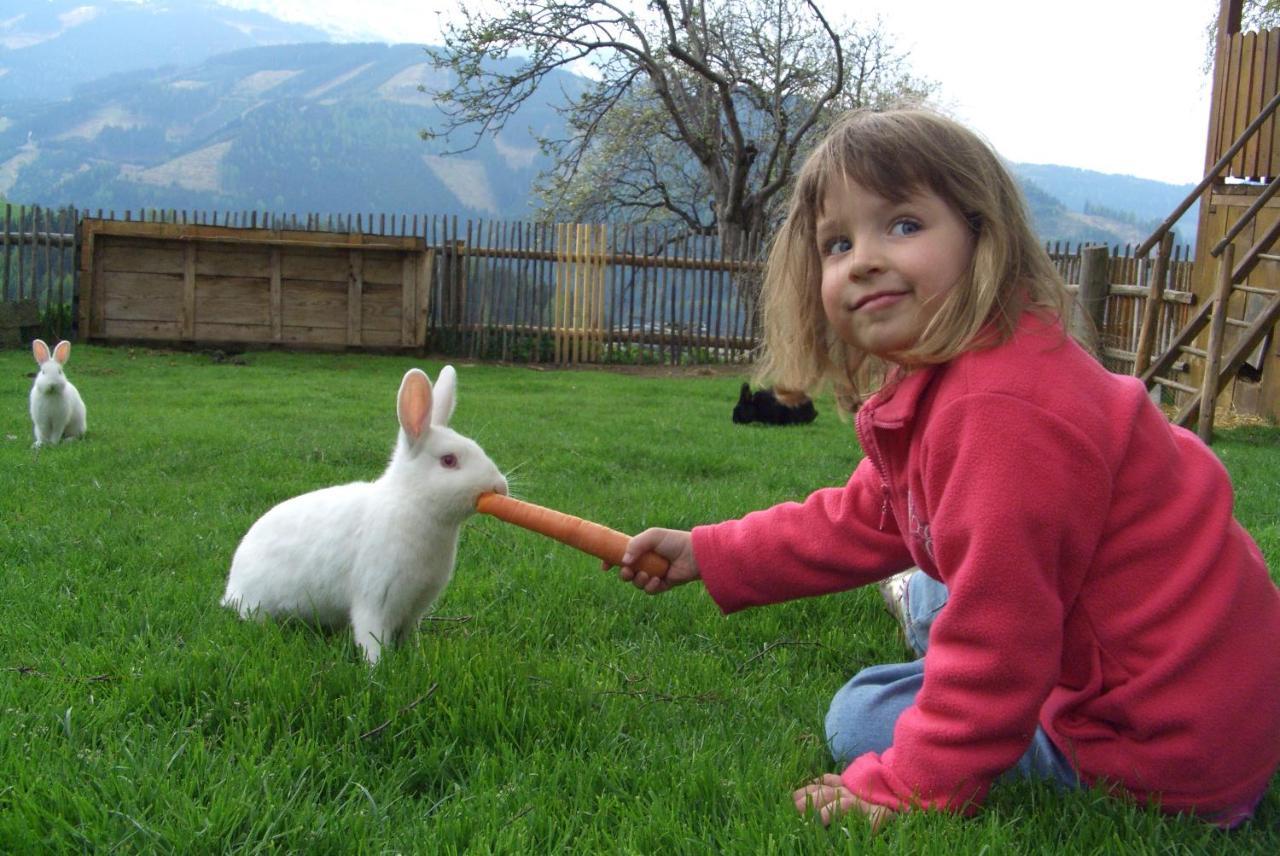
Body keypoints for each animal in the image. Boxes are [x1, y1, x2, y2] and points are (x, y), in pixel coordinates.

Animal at [222, 363, 506, 665]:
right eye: (449, 461)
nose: (500, 487)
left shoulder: (414, 609)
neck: (411, 502)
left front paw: (416, 658)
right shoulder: (375, 599)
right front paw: (377, 668)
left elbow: (410, 636)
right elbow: (371, 639)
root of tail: (232, 588)